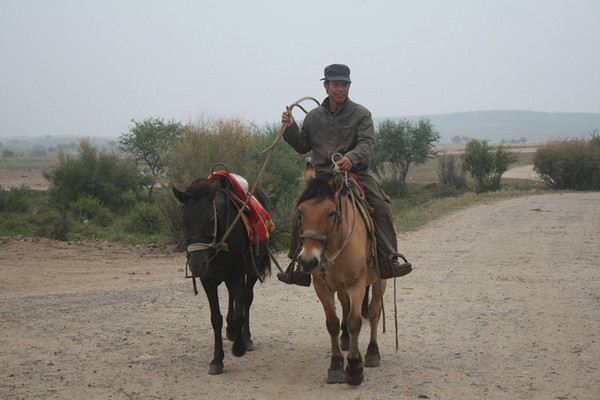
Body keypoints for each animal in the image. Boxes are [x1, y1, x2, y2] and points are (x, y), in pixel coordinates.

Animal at [171, 173, 270, 376]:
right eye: (184, 222)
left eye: (211, 219)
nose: (196, 264)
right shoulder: (207, 280)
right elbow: (215, 318)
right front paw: (217, 359)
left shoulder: (239, 274)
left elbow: (240, 314)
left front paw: (239, 347)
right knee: (232, 296)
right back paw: (231, 330)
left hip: (252, 268)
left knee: (246, 299)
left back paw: (245, 337)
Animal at [294, 165, 384, 384]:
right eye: (301, 211)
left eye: (331, 213)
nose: (308, 260)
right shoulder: (322, 286)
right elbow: (333, 323)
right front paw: (335, 366)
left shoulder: (357, 284)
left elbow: (355, 322)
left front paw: (354, 368)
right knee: (345, 305)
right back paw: (346, 341)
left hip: (380, 281)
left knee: (374, 310)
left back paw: (372, 352)